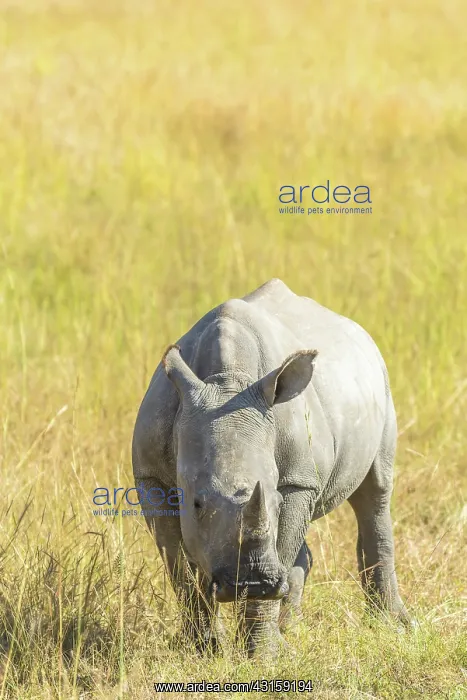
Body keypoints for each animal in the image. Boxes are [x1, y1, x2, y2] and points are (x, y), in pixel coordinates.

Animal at [132, 278, 411, 654]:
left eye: (276, 501)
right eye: (197, 504)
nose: (255, 583)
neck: (226, 382)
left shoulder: (297, 480)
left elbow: (281, 542)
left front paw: (262, 655)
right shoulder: (152, 479)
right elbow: (179, 567)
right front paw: (205, 649)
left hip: (381, 381)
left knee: (375, 492)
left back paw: (392, 626)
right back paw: (290, 630)